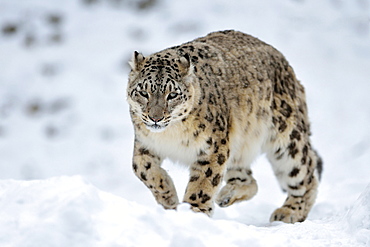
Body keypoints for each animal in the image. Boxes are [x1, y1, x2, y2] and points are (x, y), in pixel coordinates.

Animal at [126, 29, 320, 223]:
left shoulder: (212, 147)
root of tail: (284, 63)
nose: (155, 118)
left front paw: (195, 211)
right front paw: (169, 198)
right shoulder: (145, 144)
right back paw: (227, 195)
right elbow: (142, 169)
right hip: (236, 146)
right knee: (249, 180)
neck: (170, 135)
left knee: (306, 174)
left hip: (288, 140)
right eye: (143, 92)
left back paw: (289, 211)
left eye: (172, 94)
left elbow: (204, 181)